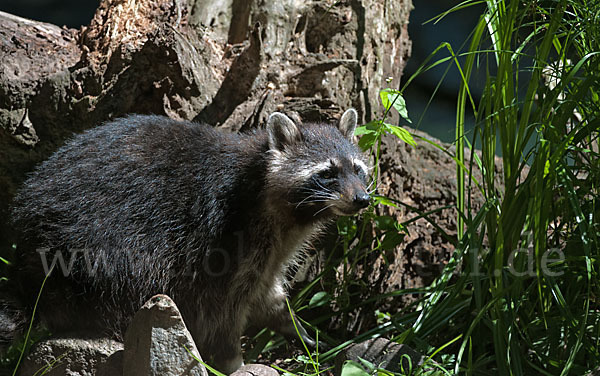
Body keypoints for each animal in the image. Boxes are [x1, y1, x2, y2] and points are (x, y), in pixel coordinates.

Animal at [3, 108, 370, 374]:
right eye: (327, 173)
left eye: (357, 169)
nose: (363, 200)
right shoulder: (228, 238)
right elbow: (223, 310)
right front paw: (231, 360)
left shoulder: (270, 249)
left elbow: (267, 295)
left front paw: (299, 328)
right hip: (92, 241)